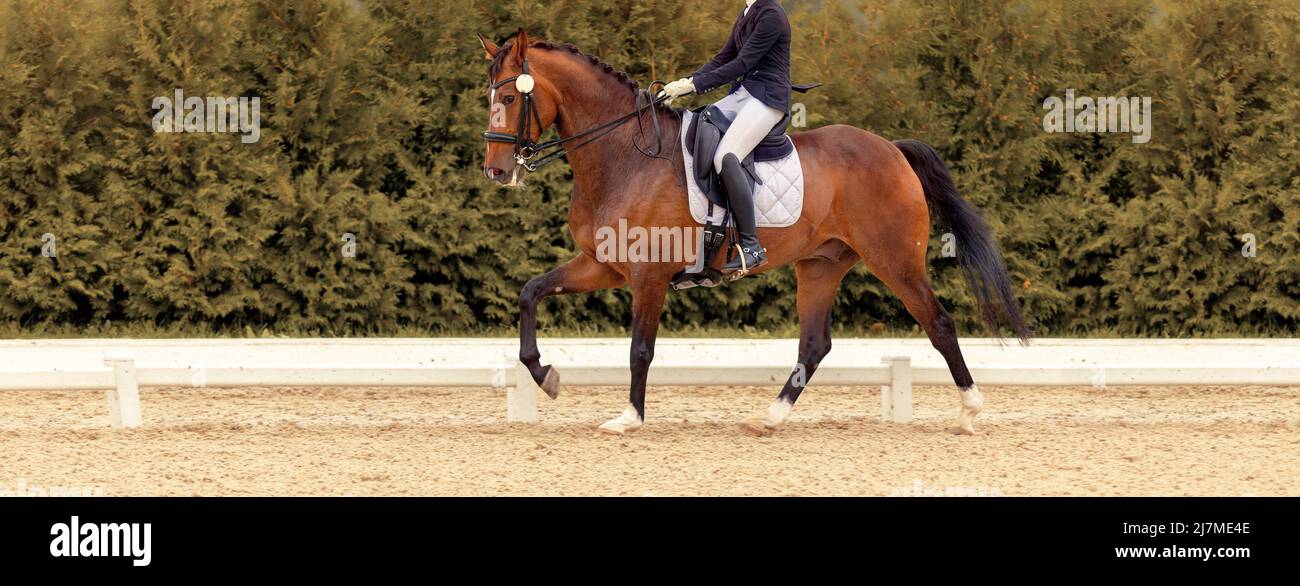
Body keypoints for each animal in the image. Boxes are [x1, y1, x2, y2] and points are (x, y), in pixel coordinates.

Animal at [473, 31, 1029, 436]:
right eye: (489, 96)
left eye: (510, 96)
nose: (497, 172)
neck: (623, 154)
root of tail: (892, 149)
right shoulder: (603, 265)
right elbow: (530, 293)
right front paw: (545, 376)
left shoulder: (649, 273)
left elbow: (640, 349)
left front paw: (628, 419)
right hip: (822, 264)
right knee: (814, 344)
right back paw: (769, 417)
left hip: (894, 260)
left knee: (939, 323)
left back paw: (970, 412)